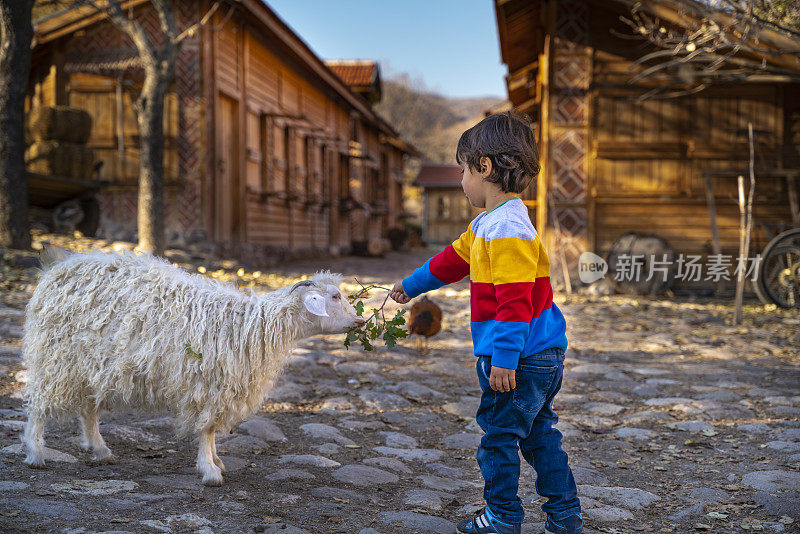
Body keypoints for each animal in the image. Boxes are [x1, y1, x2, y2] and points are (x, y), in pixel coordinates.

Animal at [21, 249, 366, 488]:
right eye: (335, 296)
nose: (361, 321)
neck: (249, 326)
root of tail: (56, 270)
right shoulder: (209, 383)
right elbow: (207, 427)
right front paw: (209, 470)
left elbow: (210, 429)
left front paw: (215, 461)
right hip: (56, 358)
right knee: (39, 405)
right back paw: (36, 454)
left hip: (91, 364)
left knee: (88, 408)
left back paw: (100, 449)